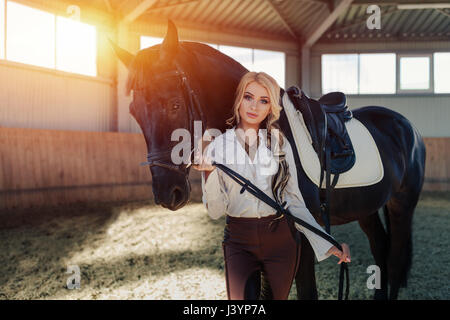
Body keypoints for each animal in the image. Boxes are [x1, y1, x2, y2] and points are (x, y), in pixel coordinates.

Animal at [111, 20, 426, 300]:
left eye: (174, 104)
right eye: (134, 112)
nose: (168, 193)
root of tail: (408, 127)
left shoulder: (304, 232)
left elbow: (307, 291)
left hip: (402, 205)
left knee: (395, 259)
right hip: (366, 208)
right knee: (381, 250)